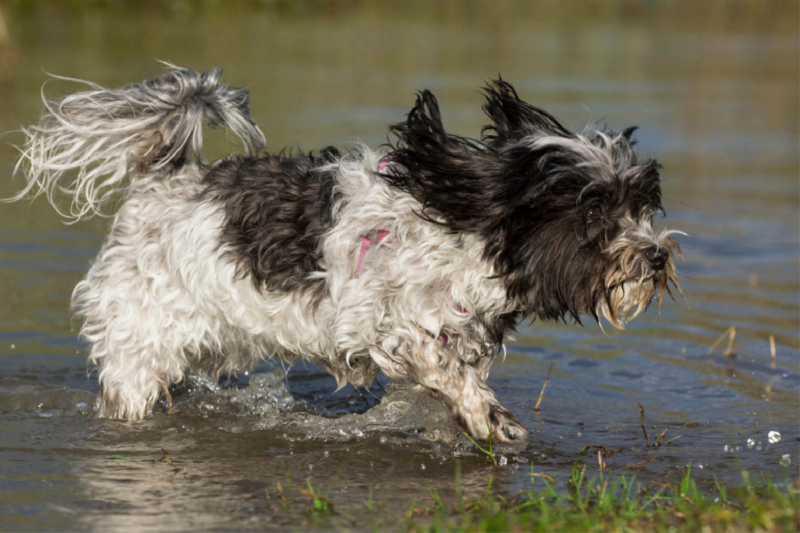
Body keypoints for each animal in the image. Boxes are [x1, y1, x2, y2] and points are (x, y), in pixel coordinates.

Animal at [6, 66, 680, 442]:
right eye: (594, 212)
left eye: (643, 204)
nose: (656, 256)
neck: (463, 234)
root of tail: (164, 176)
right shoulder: (379, 323)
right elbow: (442, 369)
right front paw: (489, 417)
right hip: (135, 354)